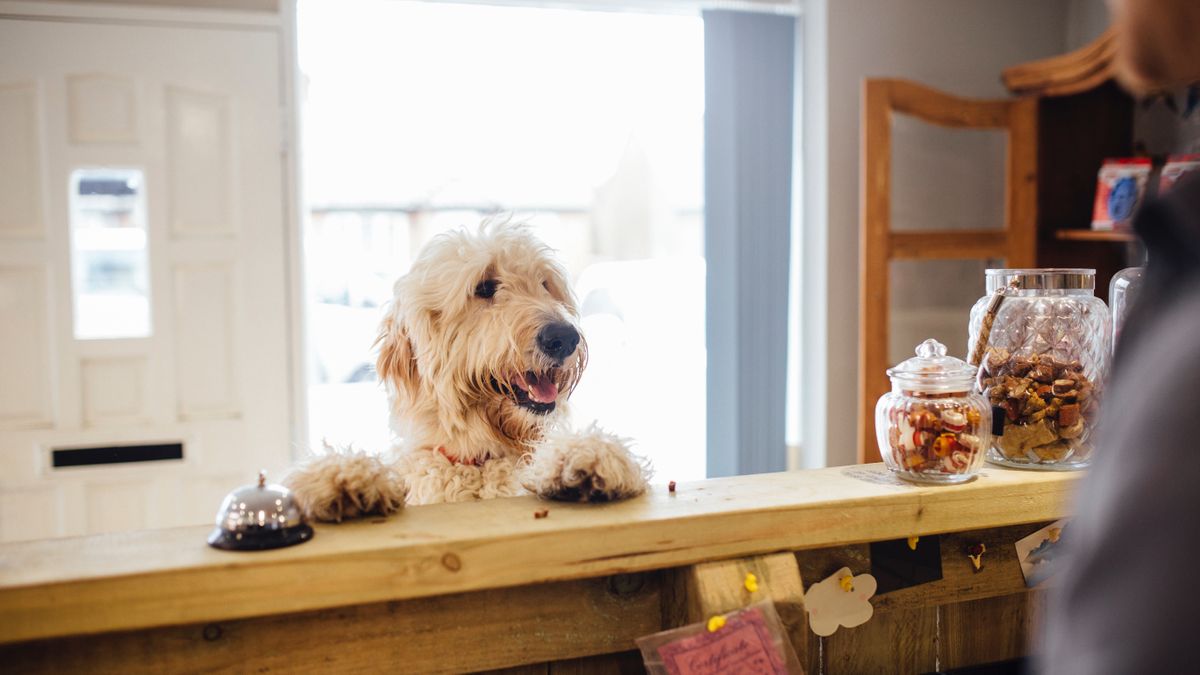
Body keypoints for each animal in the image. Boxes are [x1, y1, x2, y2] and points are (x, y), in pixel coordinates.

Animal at [286, 218, 652, 516]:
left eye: (545, 284)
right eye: (484, 287)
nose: (563, 337)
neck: (478, 461)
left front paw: (588, 455)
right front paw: (344, 476)